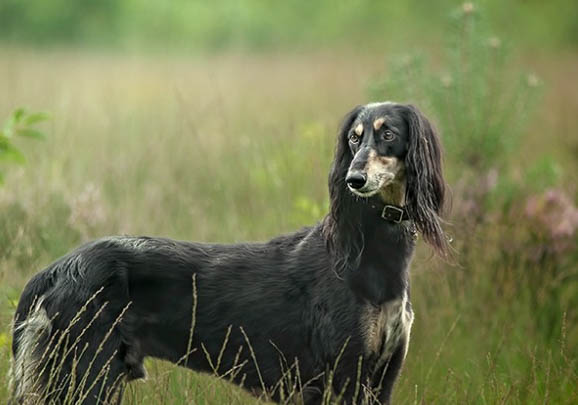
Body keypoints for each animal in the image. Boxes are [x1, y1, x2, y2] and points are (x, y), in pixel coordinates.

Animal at [11, 102, 448, 404]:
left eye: (388, 134)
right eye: (354, 138)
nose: (353, 179)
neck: (368, 253)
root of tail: (56, 268)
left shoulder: (381, 378)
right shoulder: (343, 376)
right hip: (82, 375)